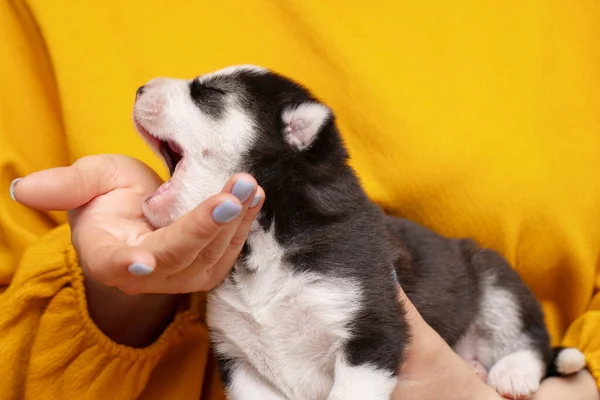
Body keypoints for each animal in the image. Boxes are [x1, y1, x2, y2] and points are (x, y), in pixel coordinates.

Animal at [132, 66, 584, 400]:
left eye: (210, 93)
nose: (138, 87)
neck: (265, 236)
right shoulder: (240, 360)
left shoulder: (371, 333)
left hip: (495, 278)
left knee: (531, 339)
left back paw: (512, 371)